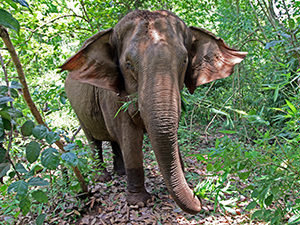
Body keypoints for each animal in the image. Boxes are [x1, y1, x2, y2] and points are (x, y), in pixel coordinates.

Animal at [59, 9, 247, 214]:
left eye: (184, 61)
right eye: (128, 65)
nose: (198, 195)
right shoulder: (112, 95)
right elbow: (130, 137)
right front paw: (139, 202)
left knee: (114, 139)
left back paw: (120, 173)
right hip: (77, 109)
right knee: (94, 140)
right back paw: (103, 177)